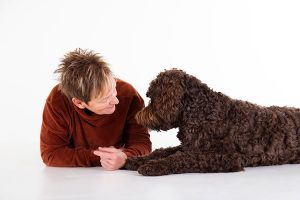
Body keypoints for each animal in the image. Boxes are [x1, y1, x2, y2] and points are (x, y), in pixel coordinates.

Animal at [124, 68, 300, 175]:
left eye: (152, 97)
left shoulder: (224, 157)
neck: (201, 109)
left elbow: (181, 158)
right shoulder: (188, 146)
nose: (137, 116)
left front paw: (154, 165)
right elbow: (162, 151)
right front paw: (135, 160)